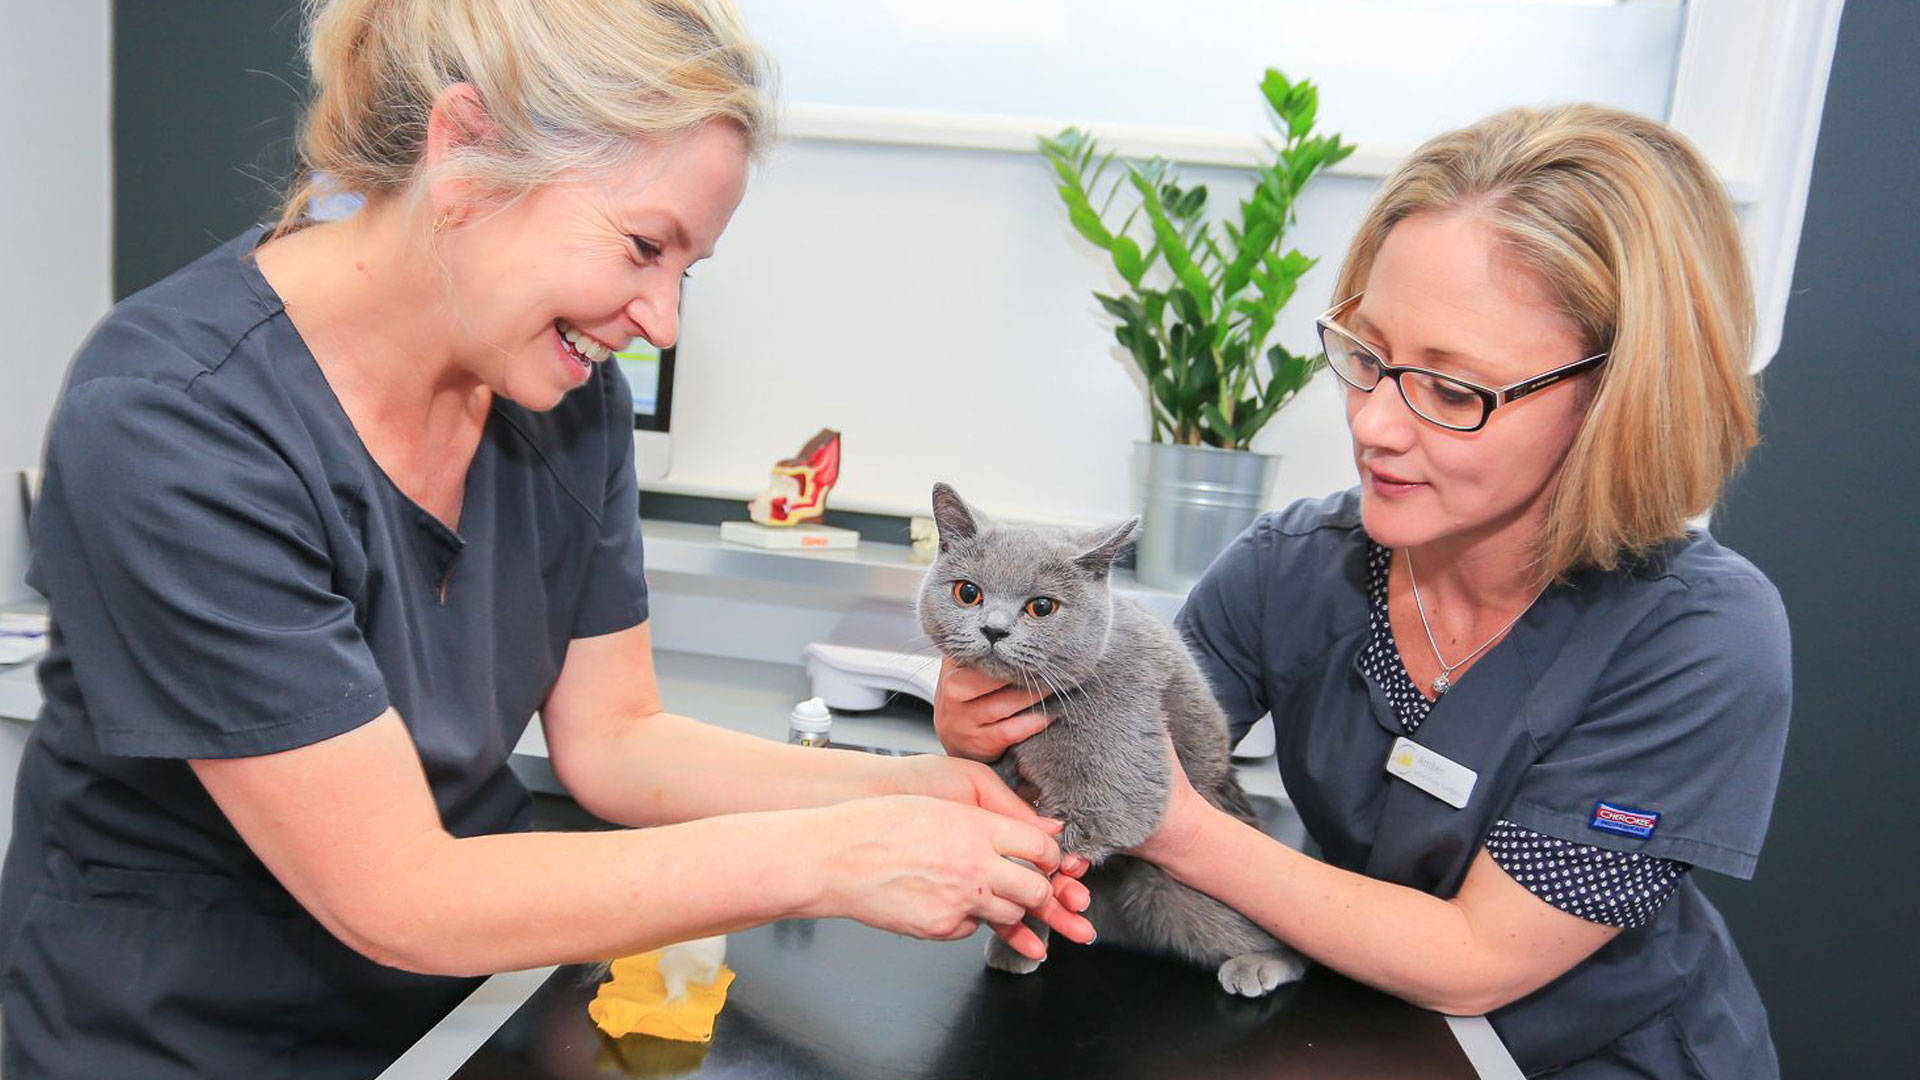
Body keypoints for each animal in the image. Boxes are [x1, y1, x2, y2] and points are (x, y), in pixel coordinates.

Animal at [910, 480, 1305, 991]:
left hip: (1184, 887)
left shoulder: (1117, 753)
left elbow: (1068, 833)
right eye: (967, 593)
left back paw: (1258, 965)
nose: (993, 629)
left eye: (1042, 607)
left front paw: (997, 872)